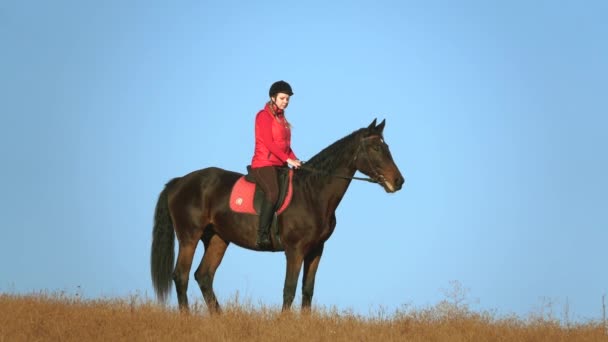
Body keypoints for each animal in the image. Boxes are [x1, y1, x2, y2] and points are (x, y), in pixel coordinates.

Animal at [150, 118, 404, 312]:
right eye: (375, 148)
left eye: (387, 147)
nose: (399, 181)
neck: (312, 193)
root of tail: (178, 182)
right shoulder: (295, 251)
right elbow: (289, 290)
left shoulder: (316, 250)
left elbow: (307, 290)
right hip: (189, 237)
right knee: (181, 276)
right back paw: (187, 317)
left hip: (218, 239)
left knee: (203, 276)